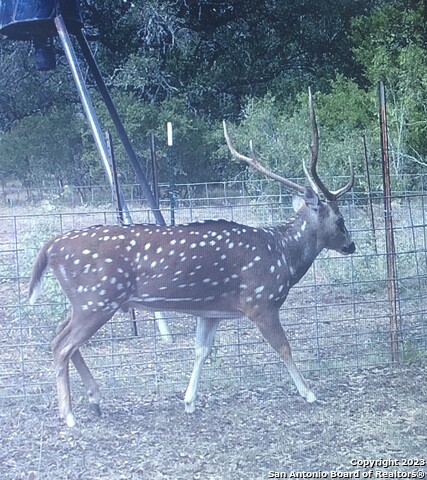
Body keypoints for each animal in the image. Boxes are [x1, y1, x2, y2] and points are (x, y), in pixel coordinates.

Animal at [27, 91, 354, 428]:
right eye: (340, 220)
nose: (351, 245)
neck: (284, 257)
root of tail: (50, 247)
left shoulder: (210, 310)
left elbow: (201, 351)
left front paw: (189, 401)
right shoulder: (260, 301)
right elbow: (284, 347)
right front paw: (309, 393)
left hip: (86, 301)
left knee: (60, 335)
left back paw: (94, 400)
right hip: (97, 299)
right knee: (62, 345)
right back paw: (69, 415)